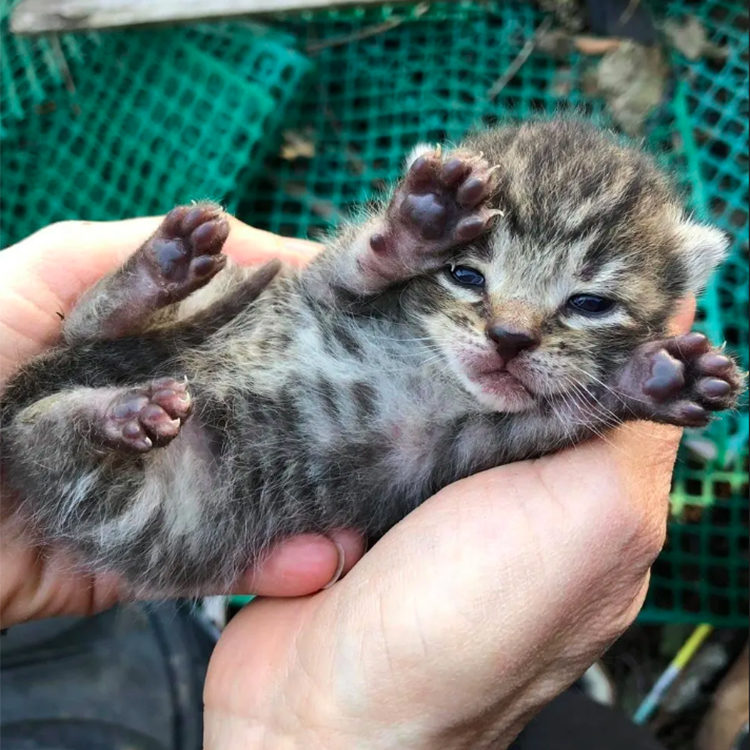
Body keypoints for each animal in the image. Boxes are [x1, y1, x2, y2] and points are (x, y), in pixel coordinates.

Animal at [1, 122, 748, 592]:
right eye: (465, 274)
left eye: (589, 304)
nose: (510, 337)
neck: (433, 372)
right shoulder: (320, 291)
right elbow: (357, 267)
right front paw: (418, 225)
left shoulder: (456, 453)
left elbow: (555, 415)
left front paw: (652, 379)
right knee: (79, 341)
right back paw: (157, 279)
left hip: (137, 506)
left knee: (45, 436)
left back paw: (124, 411)